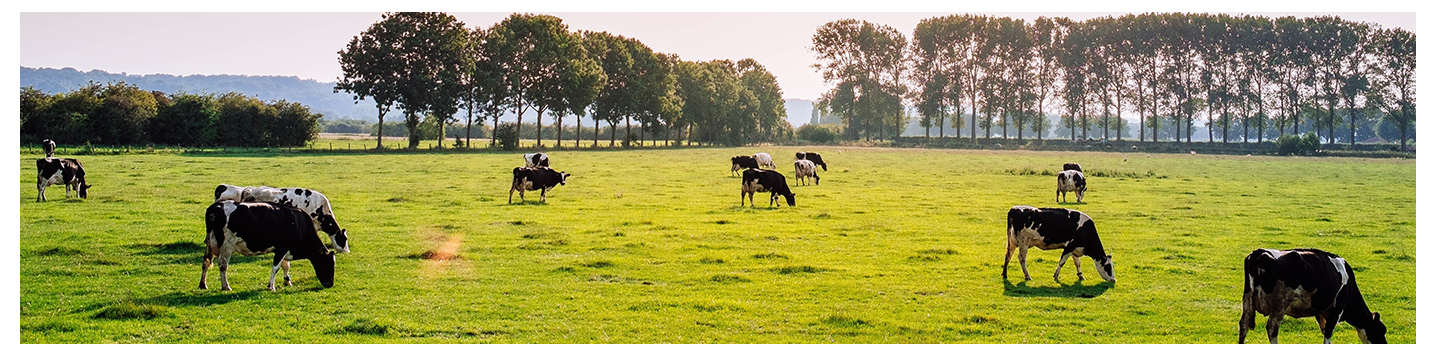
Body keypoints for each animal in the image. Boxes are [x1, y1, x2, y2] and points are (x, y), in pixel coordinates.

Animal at [200, 199, 337, 291]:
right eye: (329, 264)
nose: (330, 284)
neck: (299, 223)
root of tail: (216, 206)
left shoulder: (283, 249)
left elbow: (285, 266)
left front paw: (287, 282)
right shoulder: (282, 247)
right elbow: (276, 267)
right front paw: (271, 286)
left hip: (209, 243)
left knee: (206, 262)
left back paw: (203, 284)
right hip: (227, 245)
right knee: (223, 265)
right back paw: (226, 286)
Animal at [1239, 248, 1383, 344]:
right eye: (1382, 330)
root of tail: (1259, 252)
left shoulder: (1320, 311)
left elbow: (1324, 330)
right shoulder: (1337, 308)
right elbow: (1328, 334)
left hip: (1247, 300)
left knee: (1243, 325)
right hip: (1280, 303)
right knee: (1272, 328)